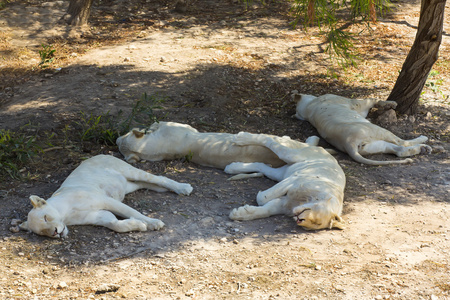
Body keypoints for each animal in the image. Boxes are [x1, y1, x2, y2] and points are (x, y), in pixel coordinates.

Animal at [19, 156, 192, 238]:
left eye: (46, 218)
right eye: (43, 232)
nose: (55, 233)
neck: (65, 215)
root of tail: (98, 154)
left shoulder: (107, 201)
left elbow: (133, 212)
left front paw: (153, 223)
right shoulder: (98, 216)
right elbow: (116, 225)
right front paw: (138, 225)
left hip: (130, 171)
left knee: (158, 177)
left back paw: (183, 187)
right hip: (129, 185)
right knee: (146, 183)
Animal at [296, 93, 432, 165]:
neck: (308, 108)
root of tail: (348, 143)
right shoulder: (355, 103)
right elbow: (372, 99)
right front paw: (391, 103)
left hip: (372, 147)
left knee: (399, 151)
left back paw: (424, 149)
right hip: (377, 130)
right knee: (402, 142)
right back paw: (423, 139)